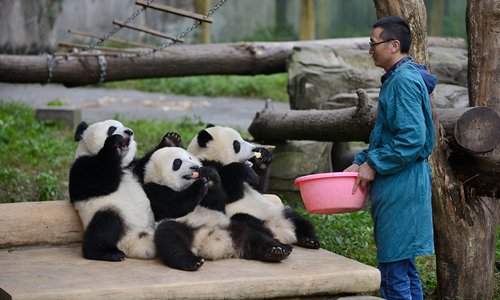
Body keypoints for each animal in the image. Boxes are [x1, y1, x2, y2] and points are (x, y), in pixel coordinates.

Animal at [67, 120, 155, 262]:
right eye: (112, 128)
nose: (129, 132)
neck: (121, 164)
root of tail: (137, 246)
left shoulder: (134, 169)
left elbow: (147, 165)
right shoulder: (82, 167)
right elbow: (102, 179)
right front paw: (114, 141)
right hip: (112, 212)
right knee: (105, 224)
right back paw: (108, 253)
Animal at [143, 146, 292, 270]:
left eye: (190, 158)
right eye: (177, 163)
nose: (195, 167)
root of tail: (217, 245)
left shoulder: (217, 206)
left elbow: (218, 202)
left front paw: (209, 174)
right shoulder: (153, 192)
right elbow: (173, 206)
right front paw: (199, 185)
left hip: (232, 226)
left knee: (254, 235)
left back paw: (276, 251)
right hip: (182, 226)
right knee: (170, 238)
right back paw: (192, 261)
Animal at [188, 124, 320, 248]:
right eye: (236, 144)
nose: (254, 149)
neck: (212, 157)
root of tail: (283, 232)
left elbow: (258, 187)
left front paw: (263, 158)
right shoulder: (205, 169)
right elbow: (224, 197)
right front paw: (244, 170)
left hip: (279, 211)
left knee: (297, 219)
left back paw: (309, 240)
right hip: (240, 218)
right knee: (249, 225)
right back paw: (275, 247)